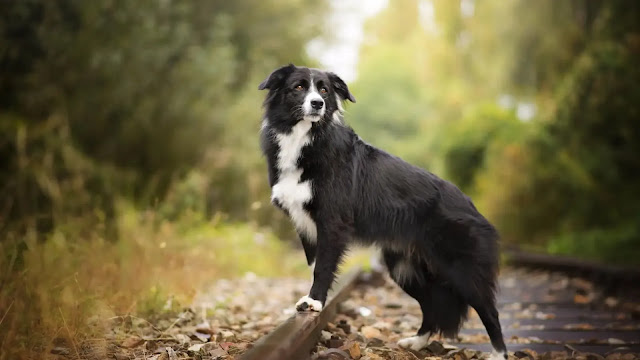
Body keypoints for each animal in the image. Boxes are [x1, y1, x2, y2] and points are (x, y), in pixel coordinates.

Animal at [258, 65, 508, 360]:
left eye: (324, 90)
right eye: (298, 87)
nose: (318, 104)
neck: (305, 138)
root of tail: (472, 206)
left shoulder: (332, 222)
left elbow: (322, 268)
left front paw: (315, 302)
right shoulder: (304, 225)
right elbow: (314, 265)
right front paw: (312, 304)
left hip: (461, 270)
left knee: (489, 311)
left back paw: (498, 353)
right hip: (404, 269)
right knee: (432, 305)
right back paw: (417, 342)